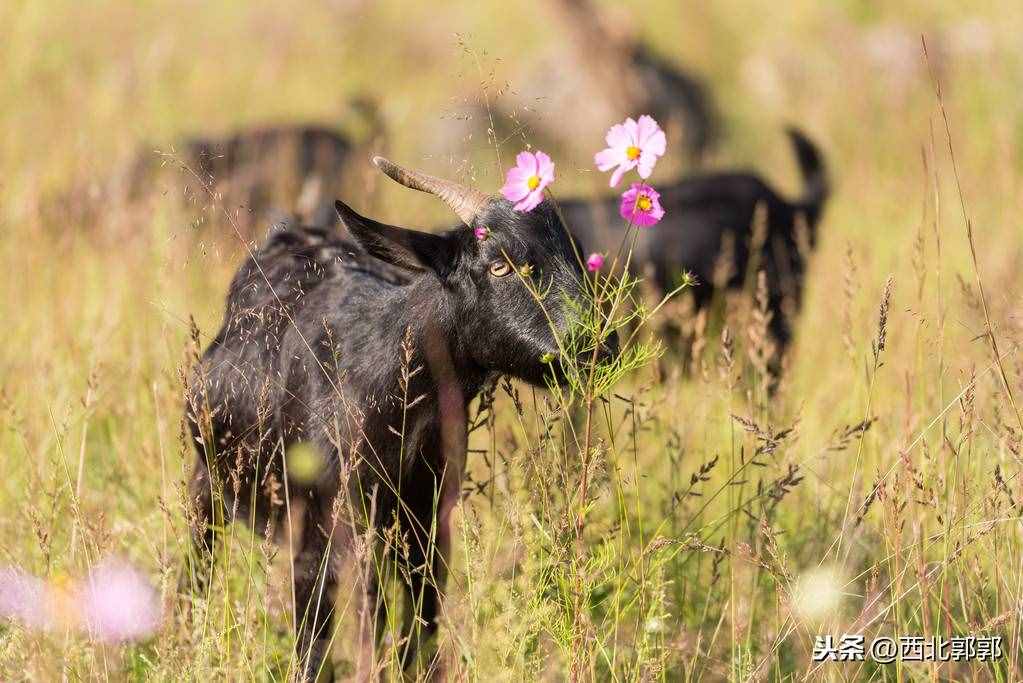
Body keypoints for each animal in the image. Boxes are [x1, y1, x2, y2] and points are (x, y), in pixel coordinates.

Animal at [183, 158, 605, 678]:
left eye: (577, 253)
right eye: (499, 265)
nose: (596, 344)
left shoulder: (428, 522)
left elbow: (421, 624)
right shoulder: (342, 522)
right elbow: (361, 621)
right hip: (213, 483)